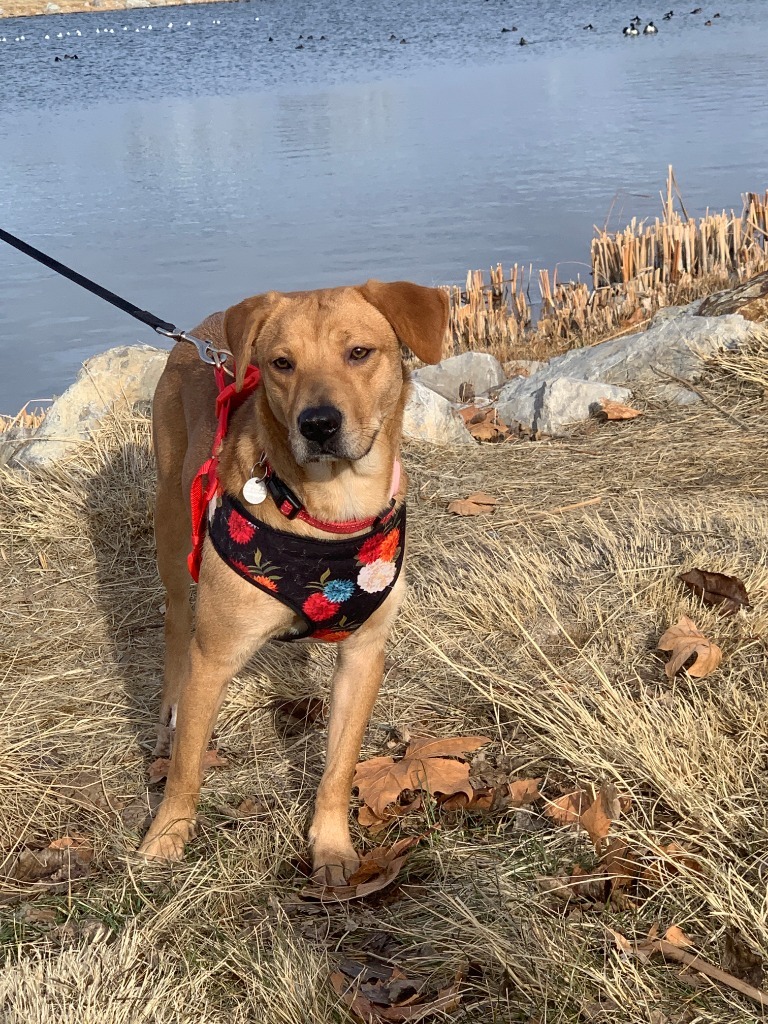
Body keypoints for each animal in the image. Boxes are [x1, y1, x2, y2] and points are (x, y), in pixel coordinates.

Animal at [140, 280, 448, 880]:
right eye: (282, 364)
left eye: (359, 353)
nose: (318, 424)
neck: (330, 510)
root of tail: (203, 331)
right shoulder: (214, 658)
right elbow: (188, 766)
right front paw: (165, 836)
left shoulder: (363, 655)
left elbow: (339, 767)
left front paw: (331, 846)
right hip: (173, 531)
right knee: (174, 628)